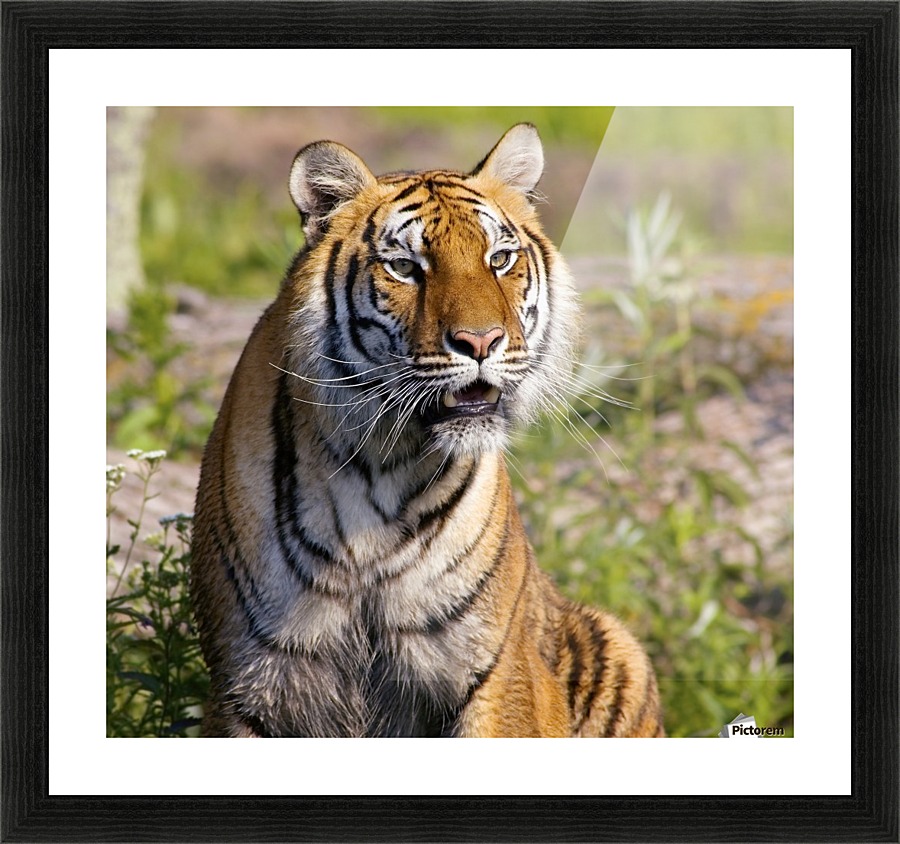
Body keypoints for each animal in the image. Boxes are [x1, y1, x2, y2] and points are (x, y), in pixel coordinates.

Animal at [191, 123, 664, 737]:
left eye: (500, 258)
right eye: (405, 267)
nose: (482, 341)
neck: (378, 468)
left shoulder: (494, 673)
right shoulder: (246, 690)